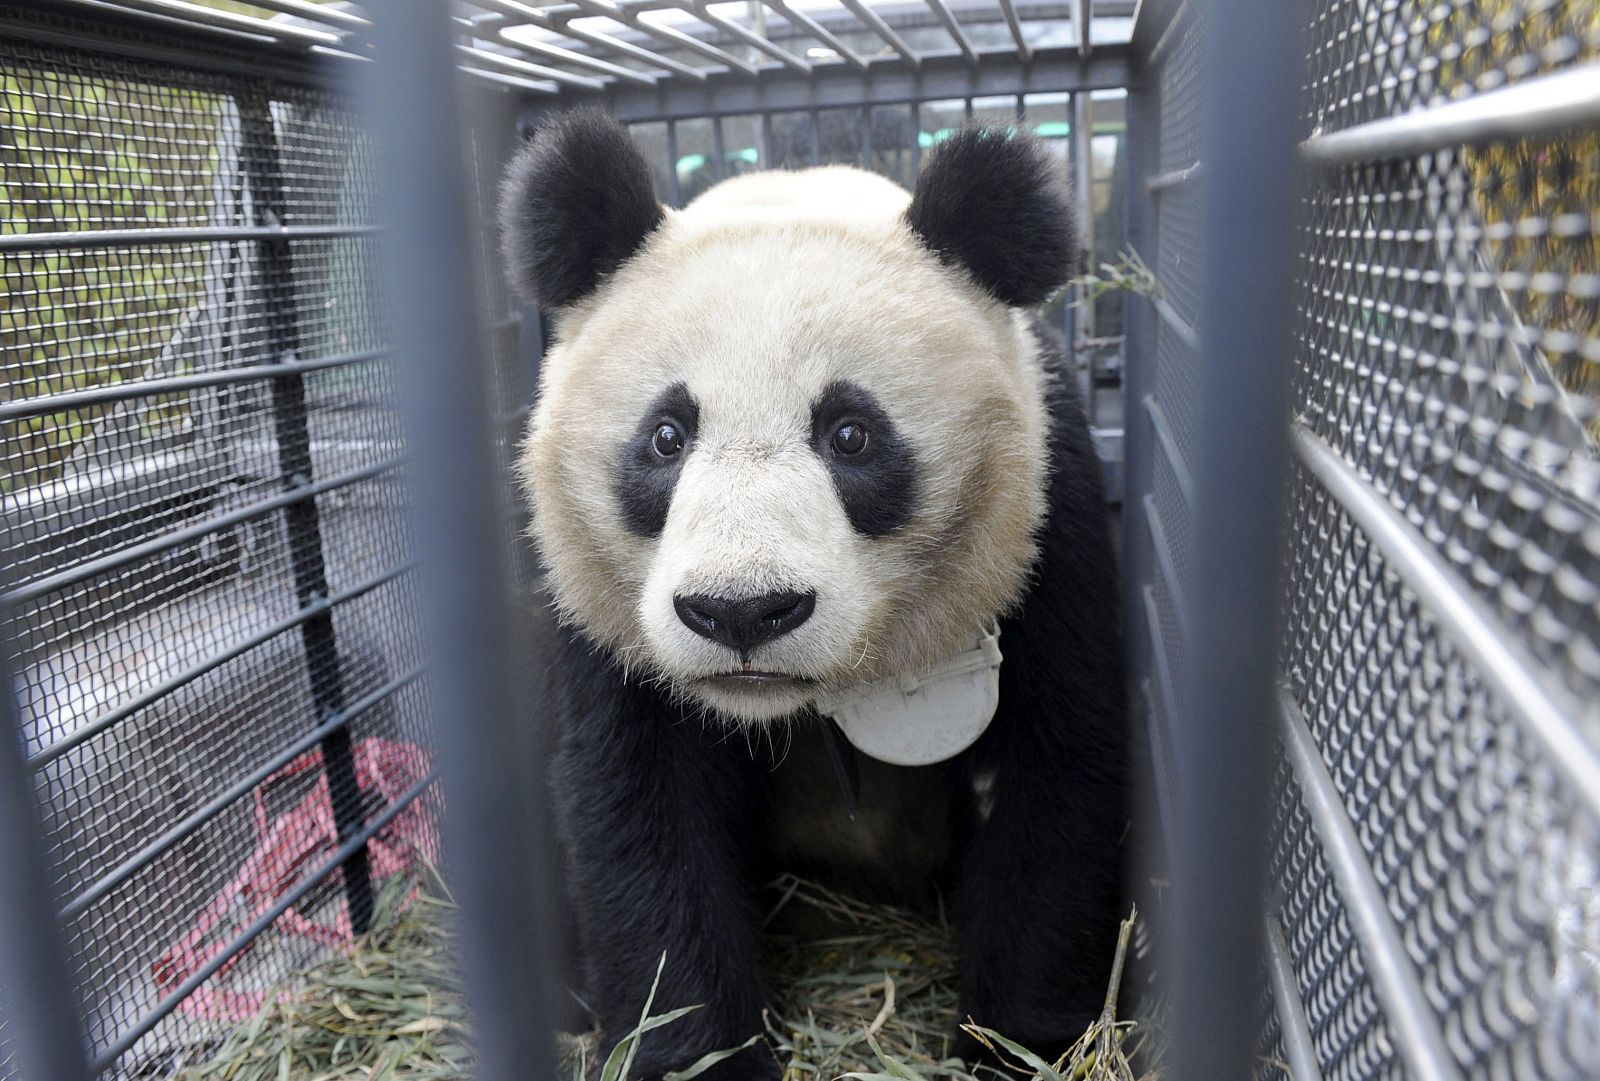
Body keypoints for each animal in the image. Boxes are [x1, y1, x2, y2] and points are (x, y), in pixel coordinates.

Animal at [499, 109, 1126, 1081]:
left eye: (852, 434)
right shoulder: (598, 612)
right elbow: (640, 805)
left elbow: (1058, 767)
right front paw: (694, 1055)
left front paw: (1016, 1044)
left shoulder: (1048, 518)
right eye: (666, 436)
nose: (742, 612)